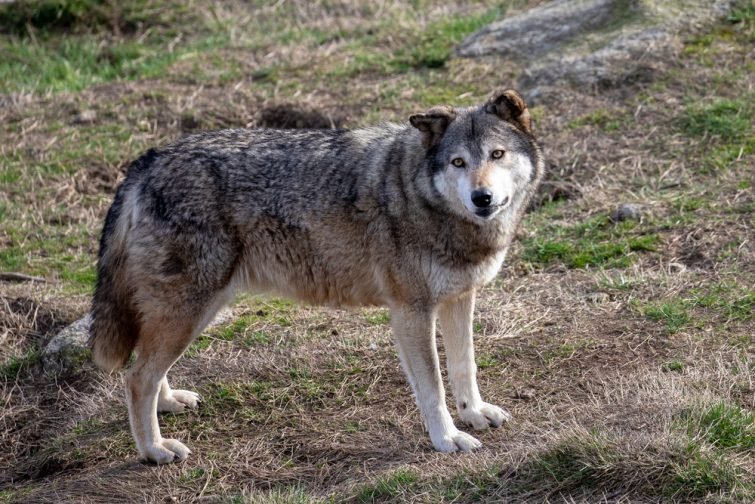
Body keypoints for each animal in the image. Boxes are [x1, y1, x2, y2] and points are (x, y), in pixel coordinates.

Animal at [91, 88, 548, 462]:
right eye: (458, 162)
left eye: (497, 155)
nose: (481, 197)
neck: (419, 195)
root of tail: (148, 159)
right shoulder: (411, 312)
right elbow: (433, 387)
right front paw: (447, 439)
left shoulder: (458, 298)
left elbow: (464, 366)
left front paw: (474, 413)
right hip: (192, 310)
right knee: (136, 378)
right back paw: (154, 450)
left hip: (188, 312)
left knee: (147, 368)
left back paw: (168, 404)